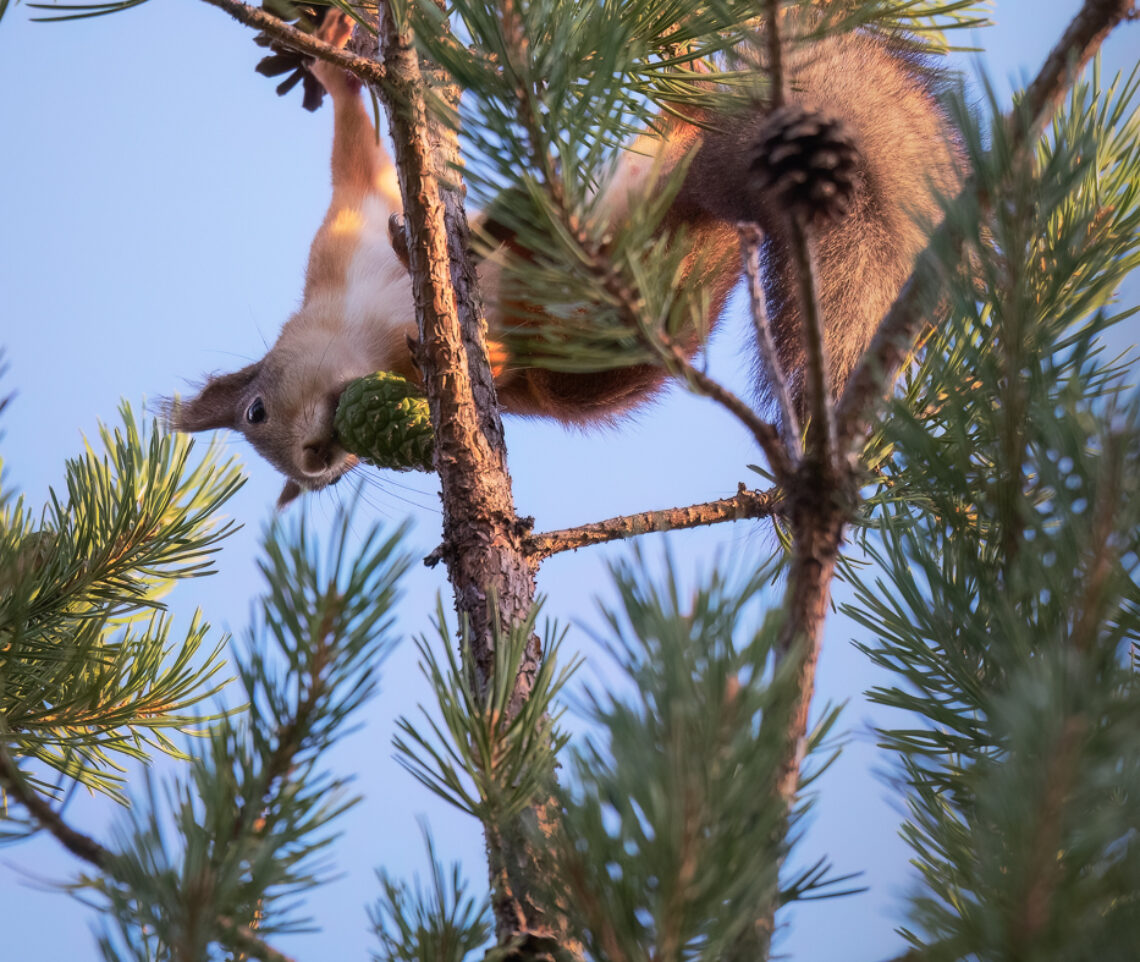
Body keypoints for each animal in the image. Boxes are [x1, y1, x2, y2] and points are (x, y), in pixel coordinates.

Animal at [173, 13, 962, 503]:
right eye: (331, 481)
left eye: (254, 411)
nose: (318, 461)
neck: (358, 332)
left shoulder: (342, 233)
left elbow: (358, 159)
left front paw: (334, 60)